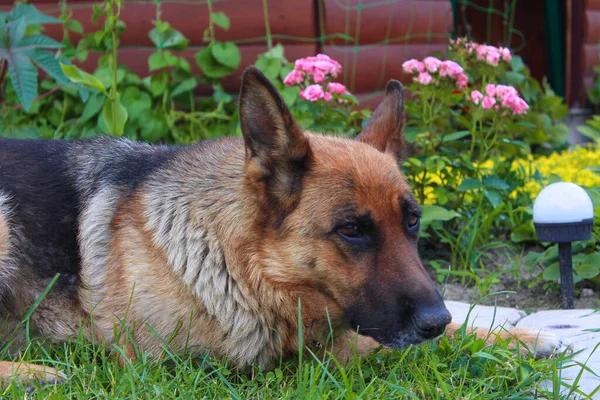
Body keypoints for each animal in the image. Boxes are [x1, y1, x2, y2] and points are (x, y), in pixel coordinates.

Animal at [0, 67, 556, 386]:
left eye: (413, 223)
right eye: (351, 230)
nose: (435, 320)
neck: (237, 259)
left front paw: (514, 338)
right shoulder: (188, 360)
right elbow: (377, 346)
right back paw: (31, 373)